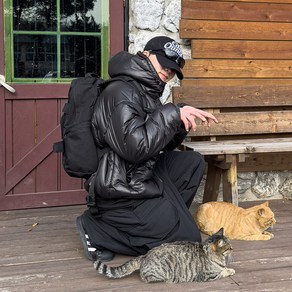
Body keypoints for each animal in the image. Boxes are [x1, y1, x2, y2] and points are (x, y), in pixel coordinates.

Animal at [93, 228, 235, 282]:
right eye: (228, 247)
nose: (233, 248)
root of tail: (145, 255)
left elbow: (224, 269)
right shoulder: (208, 276)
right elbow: (222, 272)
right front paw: (229, 270)